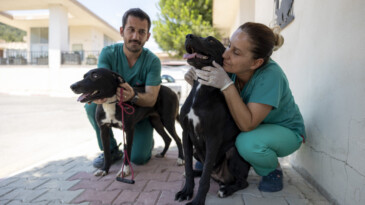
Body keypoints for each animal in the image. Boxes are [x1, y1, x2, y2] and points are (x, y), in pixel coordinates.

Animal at [174, 34, 250, 204]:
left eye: (210, 40)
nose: (188, 35)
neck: (201, 89)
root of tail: (220, 177)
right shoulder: (186, 133)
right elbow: (188, 166)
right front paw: (186, 191)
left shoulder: (212, 138)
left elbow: (205, 178)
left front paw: (198, 200)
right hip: (197, 151)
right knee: (202, 170)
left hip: (233, 152)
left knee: (242, 182)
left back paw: (226, 189)